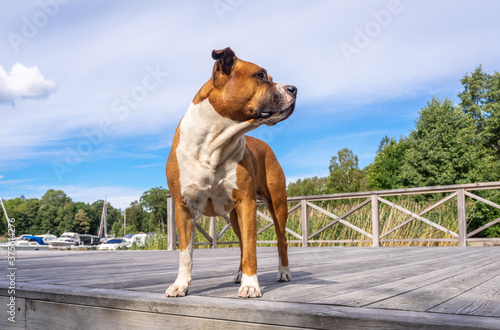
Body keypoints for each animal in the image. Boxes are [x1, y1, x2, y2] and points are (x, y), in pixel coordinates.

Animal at [166, 47, 296, 298]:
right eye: (260, 75)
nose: (294, 88)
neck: (213, 143)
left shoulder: (246, 202)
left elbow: (252, 248)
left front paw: (251, 284)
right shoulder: (182, 205)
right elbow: (186, 252)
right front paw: (180, 284)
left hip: (277, 205)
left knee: (281, 240)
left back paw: (283, 272)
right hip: (234, 217)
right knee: (243, 244)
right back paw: (239, 274)